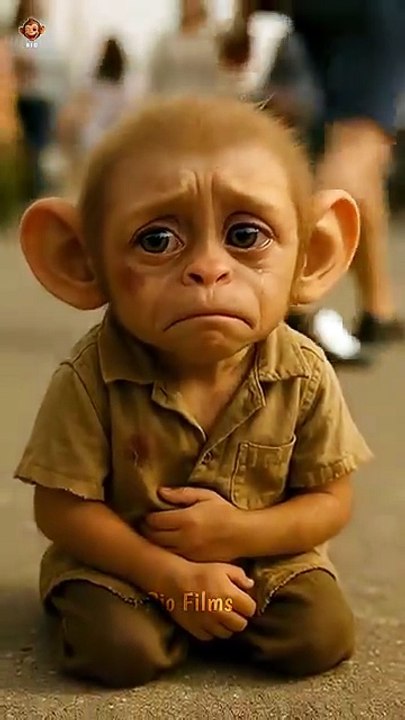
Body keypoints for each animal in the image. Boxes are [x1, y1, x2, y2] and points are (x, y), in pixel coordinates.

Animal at [15, 95, 372, 688]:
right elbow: (65, 509)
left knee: (316, 623)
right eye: (157, 240)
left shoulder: (320, 377)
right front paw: (197, 587)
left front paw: (211, 527)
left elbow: (328, 501)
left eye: (245, 236)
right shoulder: (75, 381)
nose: (207, 274)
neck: (205, 369)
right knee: (117, 631)